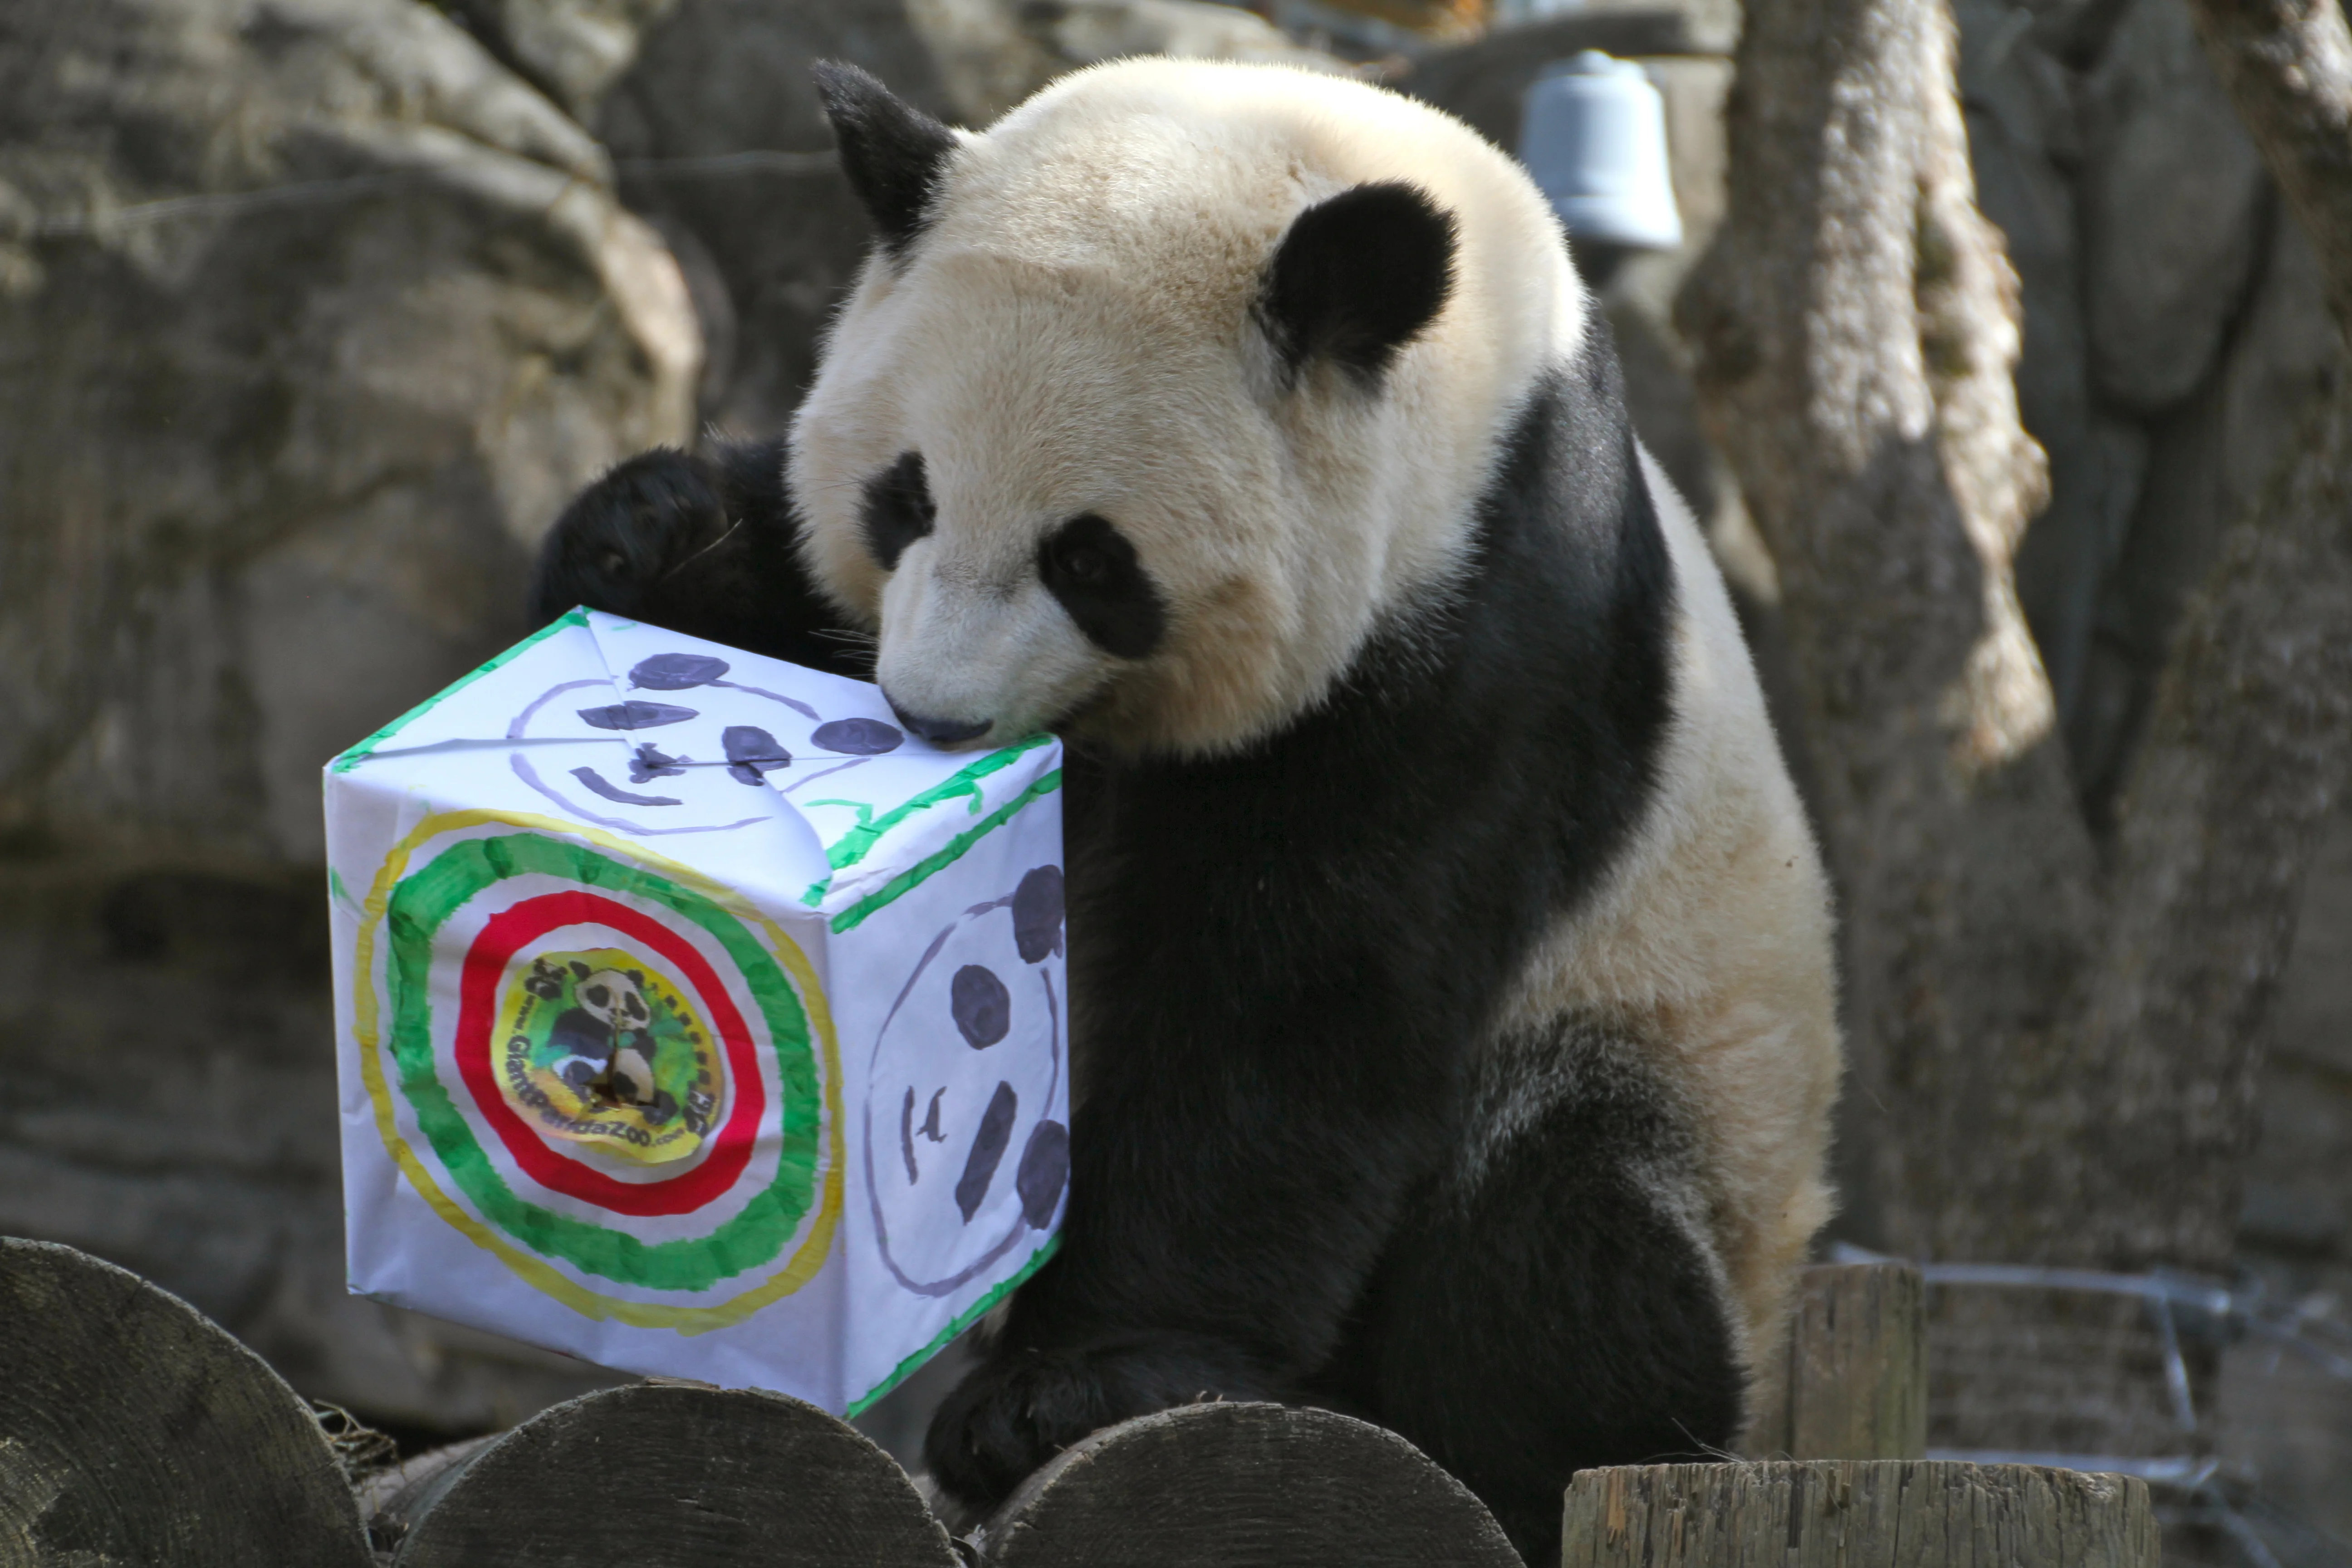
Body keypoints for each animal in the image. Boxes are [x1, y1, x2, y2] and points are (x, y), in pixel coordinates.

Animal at [537, 57, 1840, 1560]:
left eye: (1092, 561)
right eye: (903, 498)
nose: (936, 716)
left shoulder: (1487, 623)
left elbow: (1298, 991)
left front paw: (1064, 1395)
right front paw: (644, 536)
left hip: (1673, 1061)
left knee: (1556, 1238)